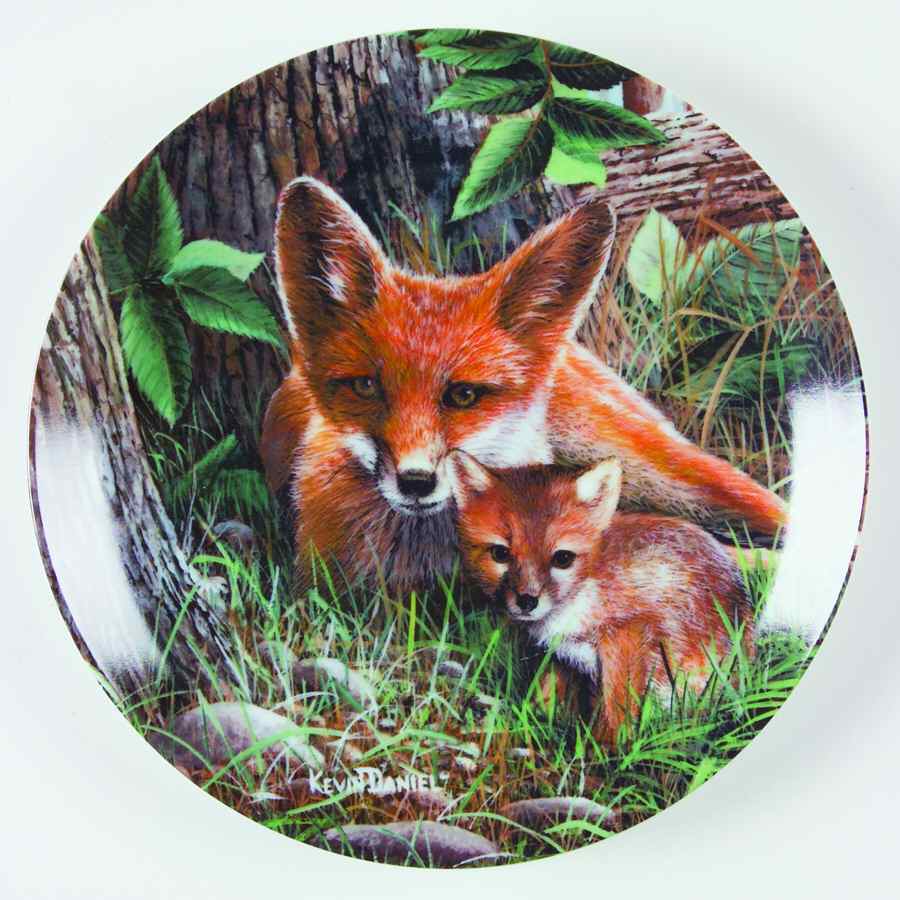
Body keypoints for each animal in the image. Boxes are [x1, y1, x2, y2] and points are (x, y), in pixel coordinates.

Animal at [449, 450, 755, 746]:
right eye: (500, 553)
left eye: (562, 558)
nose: (527, 601)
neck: (591, 582)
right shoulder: (561, 655)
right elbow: (546, 696)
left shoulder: (630, 633)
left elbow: (617, 709)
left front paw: (604, 751)